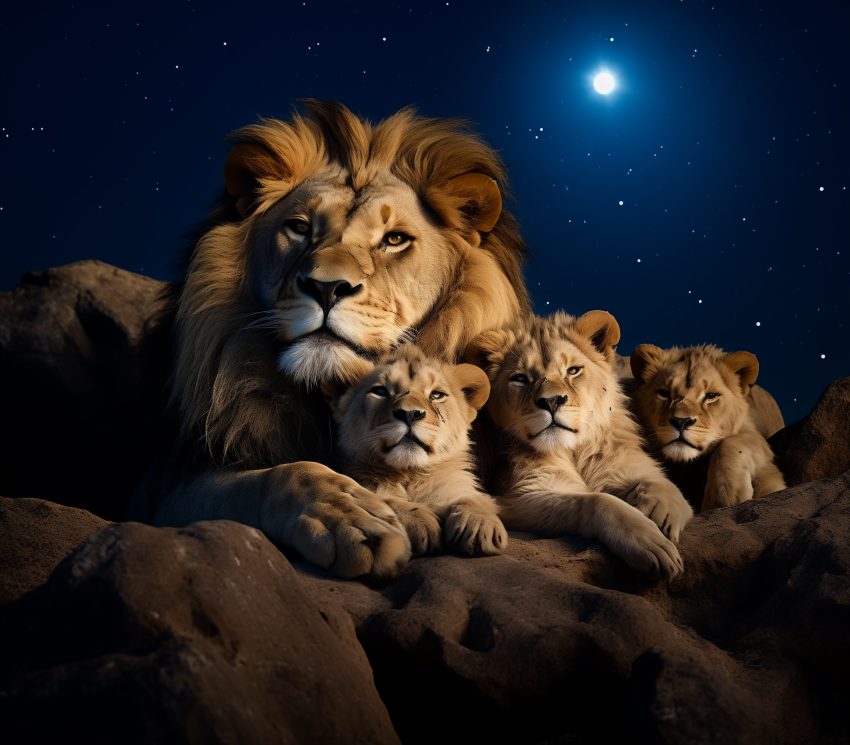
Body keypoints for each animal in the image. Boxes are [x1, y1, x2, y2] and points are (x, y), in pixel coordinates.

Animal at [322, 345, 506, 557]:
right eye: (380, 391)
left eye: (437, 395)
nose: (409, 413)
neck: (410, 474)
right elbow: (385, 500)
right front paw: (421, 523)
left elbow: (473, 498)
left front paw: (479, 527)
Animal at [467, 311, 692, 578]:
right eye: (520, 378)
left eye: (573, 370)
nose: (551, 401)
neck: (574, 450)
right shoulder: (518, 498)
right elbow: (595, 501)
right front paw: (650, 541)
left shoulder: (629, 466)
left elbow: (665, 486)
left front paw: (660, 517)